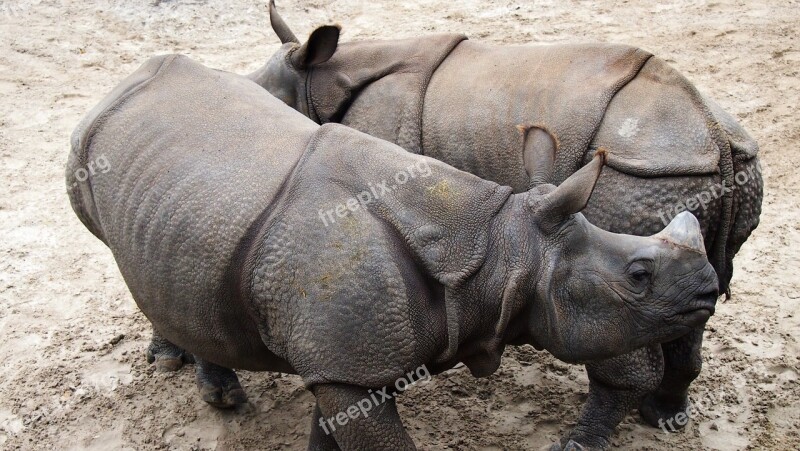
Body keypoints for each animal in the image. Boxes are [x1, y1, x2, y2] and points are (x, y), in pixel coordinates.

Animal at [69, 55, 720, 451]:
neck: (499, 249)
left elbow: (330, 426)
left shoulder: (346, 361)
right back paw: (200, 384)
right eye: (639, 274)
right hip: (87, 153)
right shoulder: (350, 358)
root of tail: (118, 84)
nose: (711, 288)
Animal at [227, 2, 764, 448]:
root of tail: (714, 139)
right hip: (711, 174)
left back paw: (581, 441)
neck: (320, 79)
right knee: (693, 298)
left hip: (637, 175)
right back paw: (664, 417)